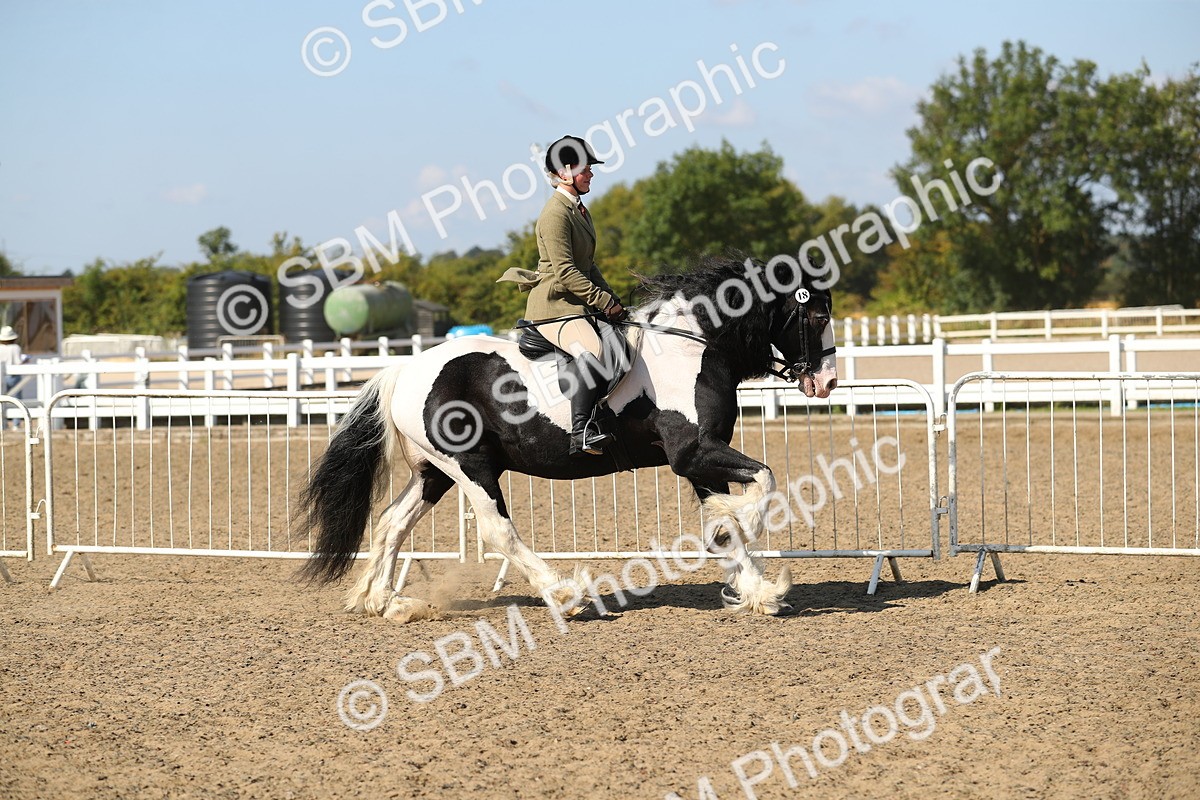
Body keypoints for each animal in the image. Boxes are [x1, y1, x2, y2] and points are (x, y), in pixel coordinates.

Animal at [298, 253, 838, 621]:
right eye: (815, 316)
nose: (828, 382)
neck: (693, 348)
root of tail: (404, 370)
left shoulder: (700, 458)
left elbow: (728, 525)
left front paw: (759, 592)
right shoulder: (692, 453)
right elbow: (765, 481)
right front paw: (749, 523)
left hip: (436, 472)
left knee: (392, 523)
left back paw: (386, 602)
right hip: (470, 468)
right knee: (497, 531)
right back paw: (564, 594)